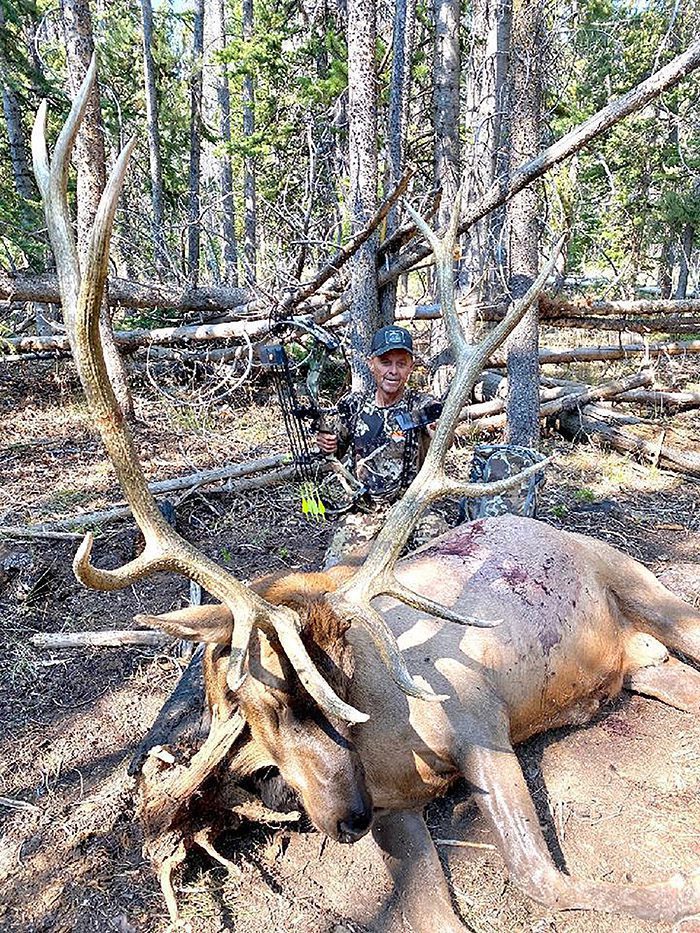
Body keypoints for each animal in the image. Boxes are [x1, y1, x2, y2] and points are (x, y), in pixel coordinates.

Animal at [33, 59, 700, 931]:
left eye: (312, 688)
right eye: (242, 701)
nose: (340, 816)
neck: (381, 737)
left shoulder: (480, 717)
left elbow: (545, 879)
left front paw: (677, 890)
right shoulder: (398, 810)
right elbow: (442, 911)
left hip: (648, 588)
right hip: (642, 661)